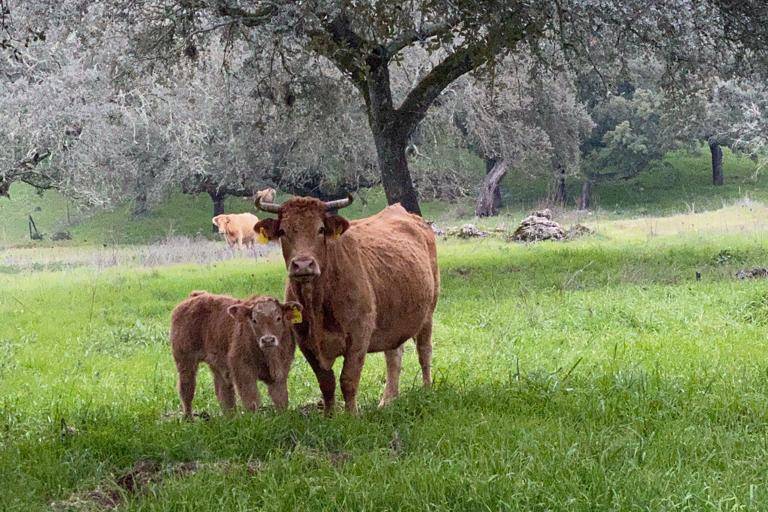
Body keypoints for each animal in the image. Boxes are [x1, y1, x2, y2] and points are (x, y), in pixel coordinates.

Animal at [170, 290, 302, 418]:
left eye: (278, 318)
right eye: (254, 320)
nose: (268, 340)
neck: (268, 358)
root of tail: (195, 296)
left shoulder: (281, 373)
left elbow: (281, 399)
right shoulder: (243, 371)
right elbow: (252, 400)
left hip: (217, 365)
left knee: (223, 392)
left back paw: (230, 418)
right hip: (185, 361)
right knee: (186, 390)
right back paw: (189, 418)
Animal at [256, 194, 440, 414]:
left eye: (320, 229)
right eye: (283, 231)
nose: (302, 265)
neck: (317, 304)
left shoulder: (359, 335)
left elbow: (348, 380)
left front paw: (352, 414)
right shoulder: (305, 343)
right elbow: (326, 382)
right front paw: (329, 415)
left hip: (428, 314)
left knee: (424, 351)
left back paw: (427, 389)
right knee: (393, 356)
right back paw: (388, 399)